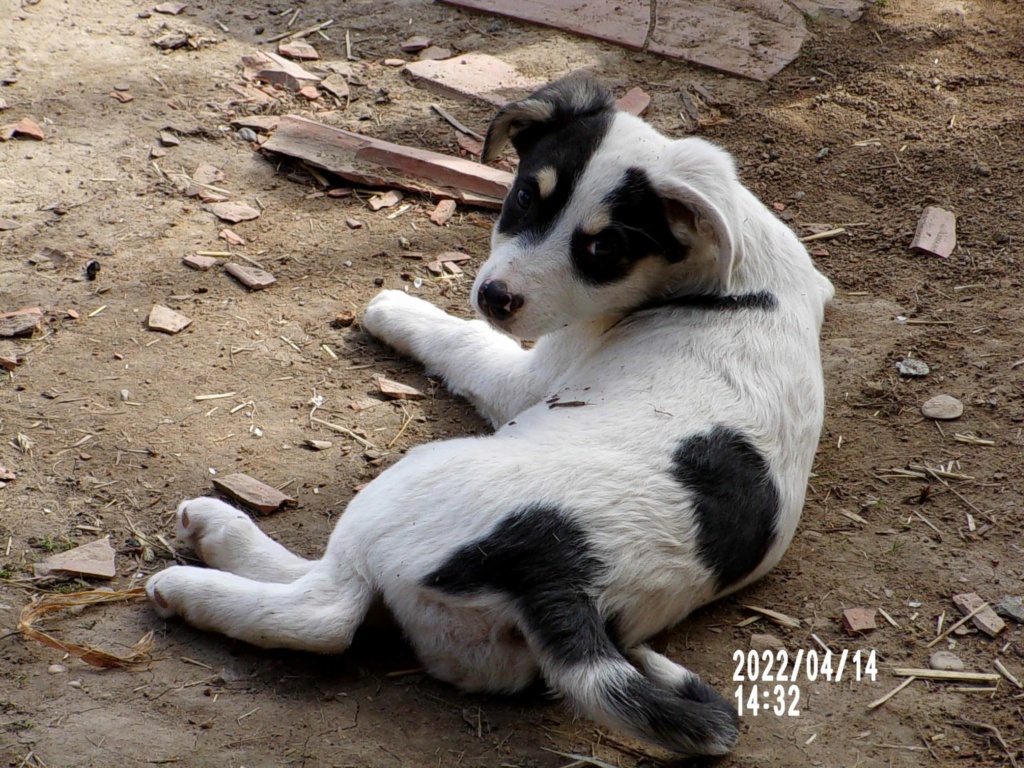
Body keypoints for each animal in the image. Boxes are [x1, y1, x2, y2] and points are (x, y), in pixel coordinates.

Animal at [146, 75, 831, 761]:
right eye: (526, 195)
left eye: (603, 247)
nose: (494, 297)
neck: (735, 272)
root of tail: (560, 581)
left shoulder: (529, 377)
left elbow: (466, 340)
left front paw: (394, 308)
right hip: (477, 644)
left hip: (413, 484)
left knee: (325, 610)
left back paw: (200, 558)